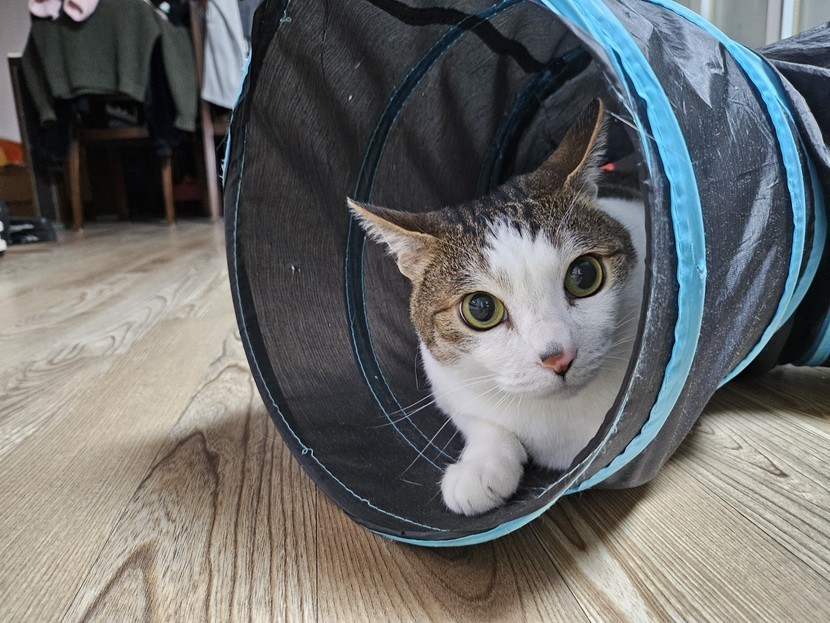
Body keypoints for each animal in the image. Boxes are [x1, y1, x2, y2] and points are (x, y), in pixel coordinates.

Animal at [348, 100, 644, 515]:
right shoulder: (444, 383)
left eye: (584, 275)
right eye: (481, 309)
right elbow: (479, 421)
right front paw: (481, 468)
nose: (559, 357)